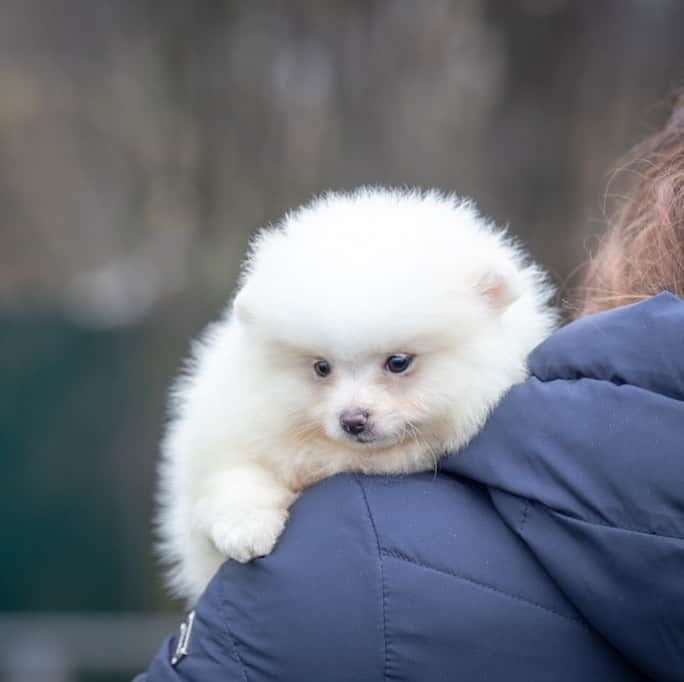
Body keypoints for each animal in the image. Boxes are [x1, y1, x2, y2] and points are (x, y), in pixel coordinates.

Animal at [160, 187, 556, 600]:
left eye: (398, 362)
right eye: (321, 367)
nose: (352, 420)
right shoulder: (228, 428)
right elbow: (234, 475)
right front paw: (246, 529)